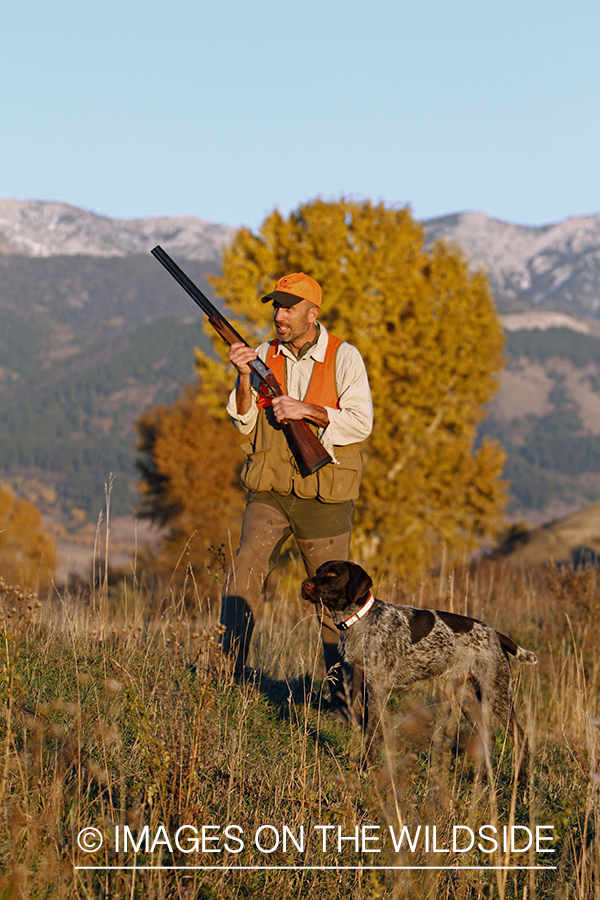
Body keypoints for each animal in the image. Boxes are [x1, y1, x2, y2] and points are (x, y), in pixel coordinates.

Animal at [302, 556, 536, 772]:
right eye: (317, 571)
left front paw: (365, 767)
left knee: (520, 736)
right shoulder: (367, 685)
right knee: (488, 736)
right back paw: (484, 780)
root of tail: (495, 633)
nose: (304, 584)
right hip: (463, 694)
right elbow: (371, 729)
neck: (359, 621)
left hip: (495, 691)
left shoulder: (378, 687)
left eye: (333, 574)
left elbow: (371, 733)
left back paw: (520, 782)